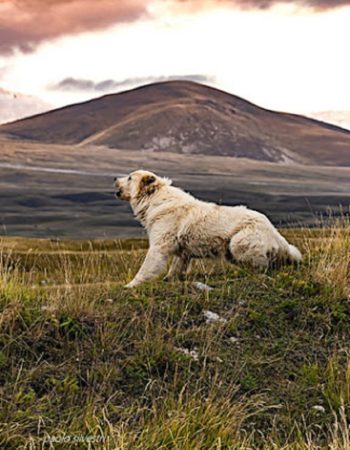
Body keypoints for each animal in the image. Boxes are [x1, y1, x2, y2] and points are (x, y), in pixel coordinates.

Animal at [114, 169, 300, 288]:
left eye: (130, 177)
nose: (115, 179)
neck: (154, 200)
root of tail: (276, 234)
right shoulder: (182, 249)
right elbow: (178, 263)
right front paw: (170, 278)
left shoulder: (163, 235)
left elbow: (151, 260)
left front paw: (131, 284)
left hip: (241, 239)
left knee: (256, 258)